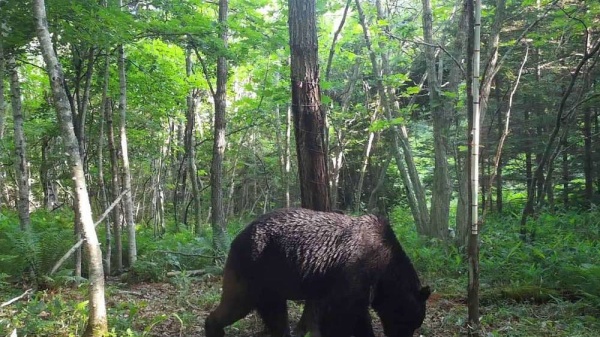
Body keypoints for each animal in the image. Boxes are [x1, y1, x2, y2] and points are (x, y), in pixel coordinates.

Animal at [204, 207, 428, 336]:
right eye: (412, 321)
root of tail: (236, 238)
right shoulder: (355, 271)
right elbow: (346, 313)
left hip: (271, 282)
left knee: (275, 314)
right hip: (253, 267)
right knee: (236, 303)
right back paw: (214, 328)